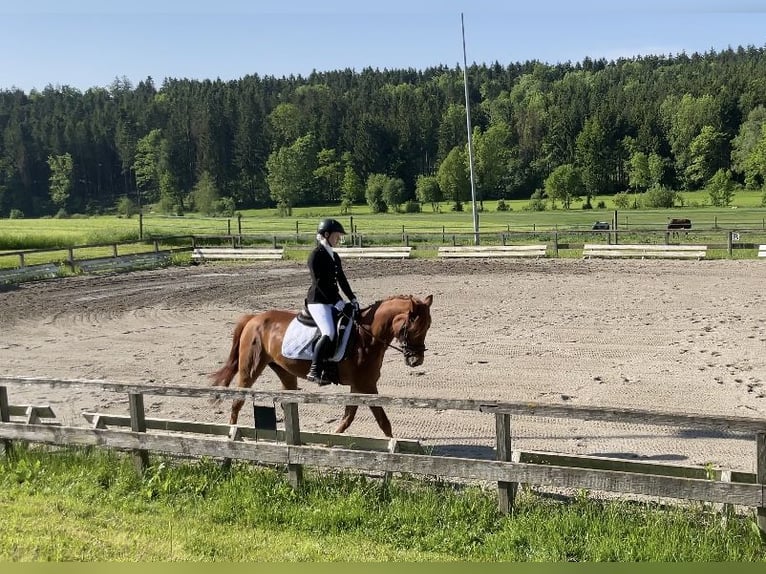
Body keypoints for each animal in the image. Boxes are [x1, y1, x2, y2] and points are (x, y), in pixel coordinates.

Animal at [210, 294, 436, 438]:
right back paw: (232, 434)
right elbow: (382, 420)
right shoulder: (367, 386)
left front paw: (333, 439)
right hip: (250, 369)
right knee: (237, 401)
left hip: (285, 372)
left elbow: (349, 416)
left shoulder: (359, 386)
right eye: (414, 328)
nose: (417, 361)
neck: (366, 336)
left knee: (286, 401)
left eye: (427, 327)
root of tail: (253, 318)